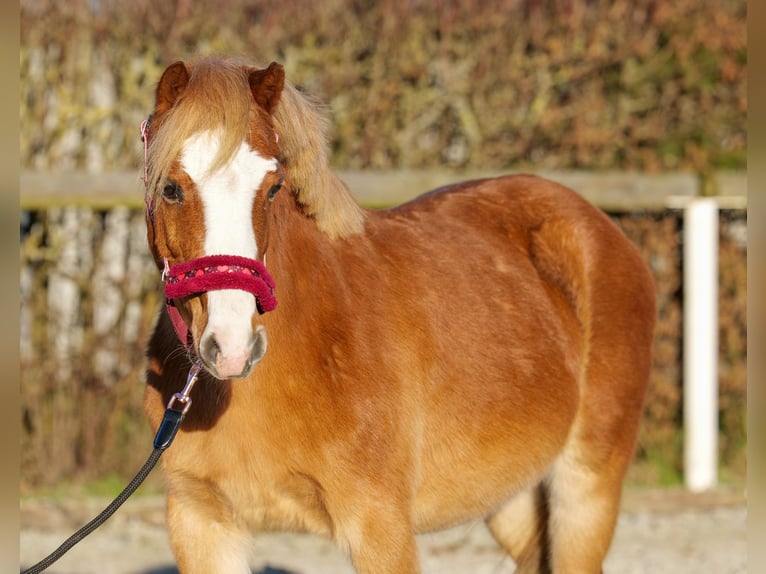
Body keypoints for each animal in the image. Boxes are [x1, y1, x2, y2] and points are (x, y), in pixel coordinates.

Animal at [142, 59, 656, 574]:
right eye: (170, 188)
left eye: (272, 189)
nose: (232, 347)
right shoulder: (203, 525)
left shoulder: (380, 526)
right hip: (511, 496)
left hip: (584, 493)